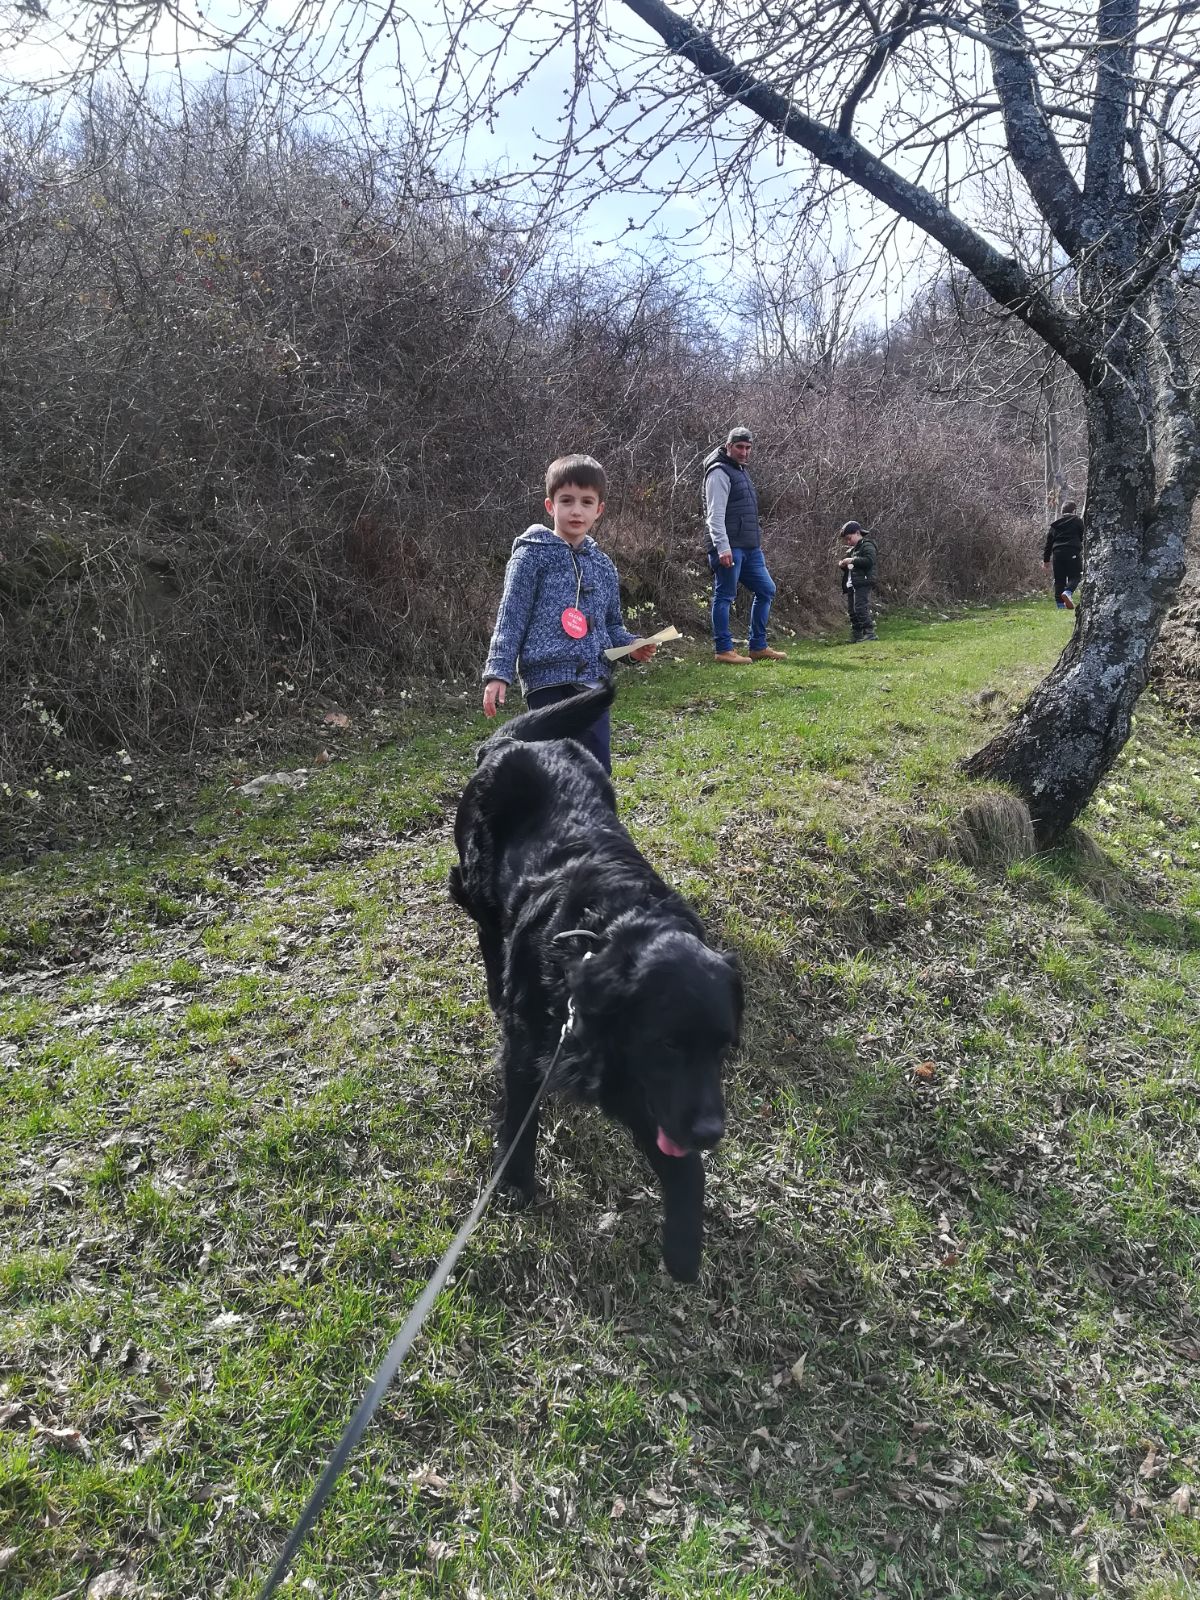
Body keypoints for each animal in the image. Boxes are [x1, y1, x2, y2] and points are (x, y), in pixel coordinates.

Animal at [448, 681, 739, 1280]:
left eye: (724, 1048)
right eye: (668, 1044)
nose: (711, 1133)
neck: (605, 928)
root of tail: (511, 742)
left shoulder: (640, 1084)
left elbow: (682, 1167)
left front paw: (683, 1247)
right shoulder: (531, 1043)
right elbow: (520, 1113)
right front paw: (515, 1182)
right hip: (474, 880)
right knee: (481, 921)